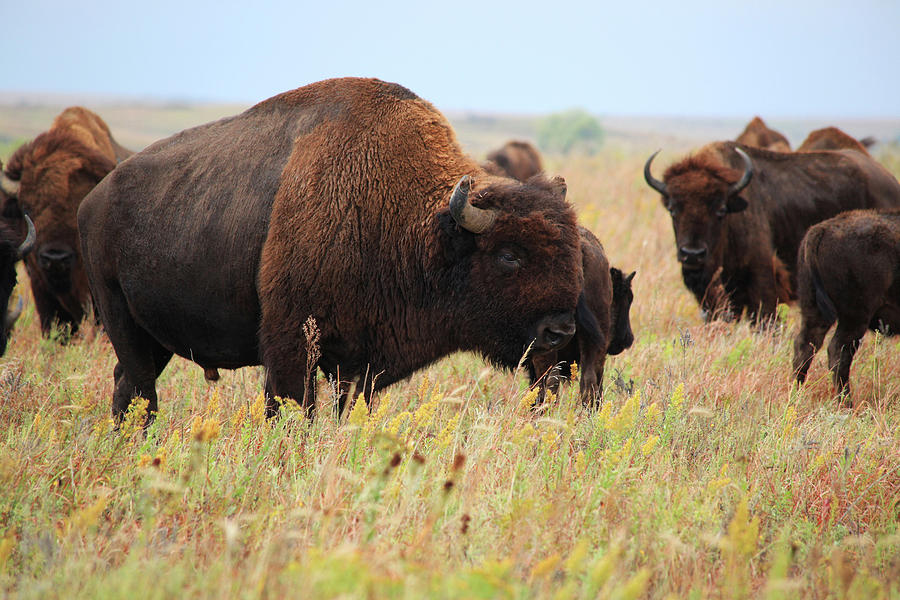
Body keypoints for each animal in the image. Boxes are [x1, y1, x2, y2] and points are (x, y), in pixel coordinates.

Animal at [79, 77, 592, 420]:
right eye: (509, 256)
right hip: (120, 319)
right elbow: (291, 409)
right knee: (140, 389)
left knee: (127, 385)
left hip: (154, 338)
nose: (559, 332)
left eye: (571, 255)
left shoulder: (358, 362)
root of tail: (95, 200)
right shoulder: (291, 347)